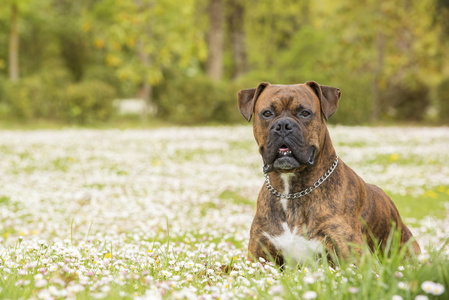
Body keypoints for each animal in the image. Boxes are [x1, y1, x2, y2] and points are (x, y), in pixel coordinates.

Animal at [238, 81, 420, 264]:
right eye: (267, 113)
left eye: (305, 113)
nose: (283, 125)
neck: (291, 192)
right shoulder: (257, 258)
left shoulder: (353, 259)